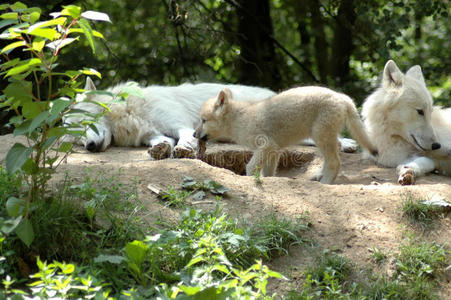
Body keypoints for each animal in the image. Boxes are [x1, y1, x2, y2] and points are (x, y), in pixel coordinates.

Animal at [64, 78, 360, 159]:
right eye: (73, 141)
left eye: (82, 125)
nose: (89, 147)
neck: (129, 113)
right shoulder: (150, 133)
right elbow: (159, 141)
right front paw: (161, 149)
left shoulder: (180, 123)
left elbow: (185, 136)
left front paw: (184, 148)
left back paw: (347, 144)